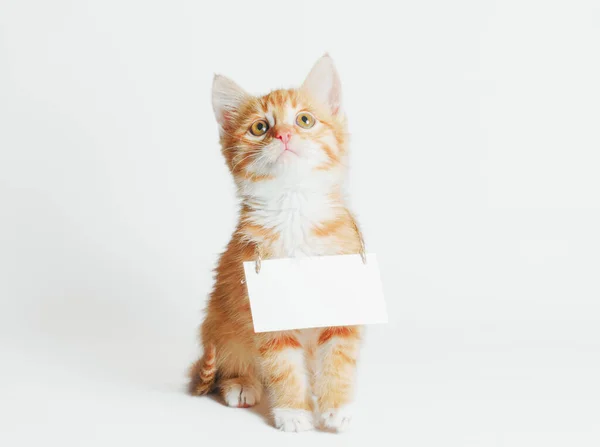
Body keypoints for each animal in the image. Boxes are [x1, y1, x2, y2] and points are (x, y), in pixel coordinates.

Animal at [190, 54, 364, 432]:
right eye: (259, 127)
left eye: (305, 120)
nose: (284, 134)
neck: (294, 208)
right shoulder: (263, 305)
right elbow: (282, 364)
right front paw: (293, 412)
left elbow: (339, 356)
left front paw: (336, 406)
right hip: (222, 321)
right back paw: (241, 383)